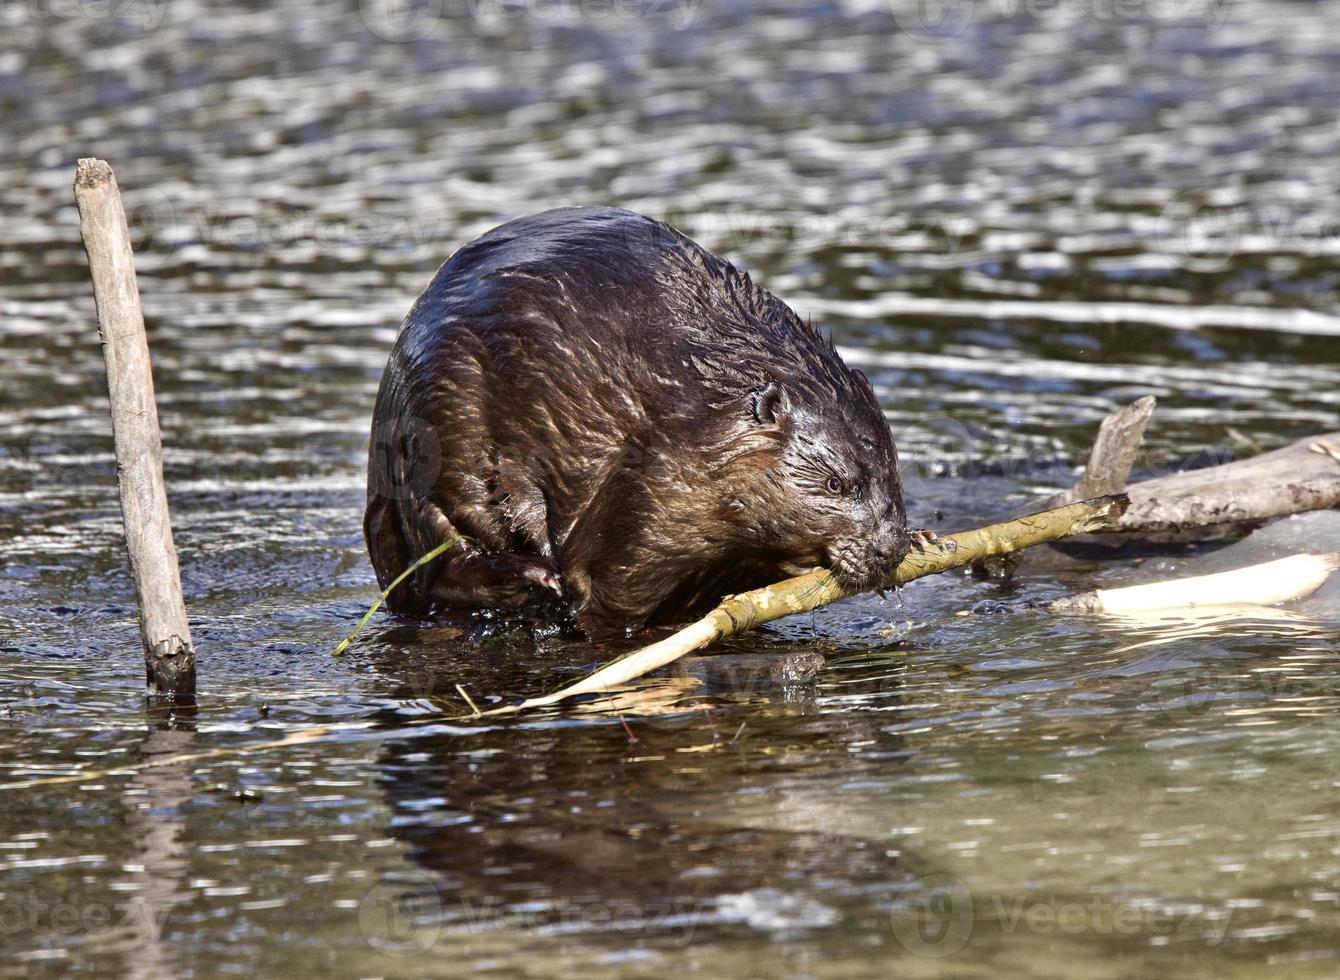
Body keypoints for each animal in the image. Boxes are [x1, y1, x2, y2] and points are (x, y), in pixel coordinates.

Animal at [367, 206, 911, 640]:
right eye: (837, 483)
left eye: (894, 474)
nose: (891, 549)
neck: (708, 403)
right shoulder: (657, 487)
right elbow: (610, 587)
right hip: (435, 430)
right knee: (446, 548)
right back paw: (534, 576)